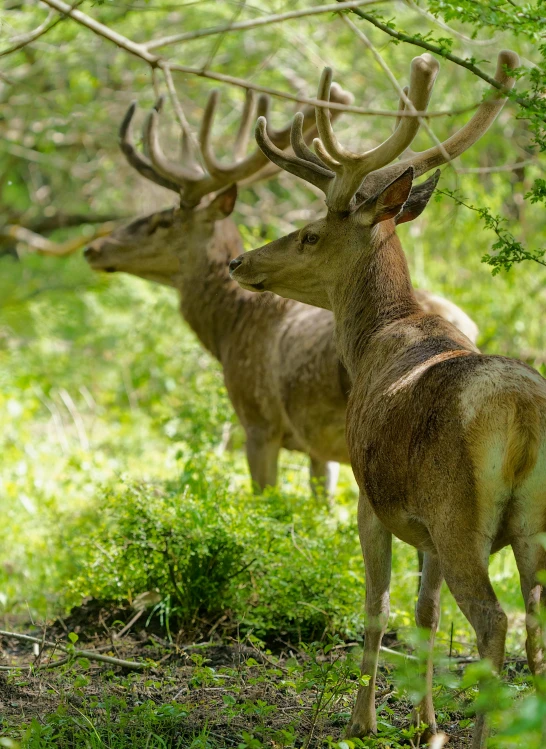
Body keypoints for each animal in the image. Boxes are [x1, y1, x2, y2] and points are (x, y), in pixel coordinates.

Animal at [228, 49, 544, 744]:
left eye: (309, 233)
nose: (240, 261)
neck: (376, 336)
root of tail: (522, 413)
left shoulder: (370, 498)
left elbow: (377, 606)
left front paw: (363, 718)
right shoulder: (422, 526)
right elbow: (425, 614)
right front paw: (425, 722)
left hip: (462, 516)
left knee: (494, 622)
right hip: (532, 521)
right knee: (536, 619)